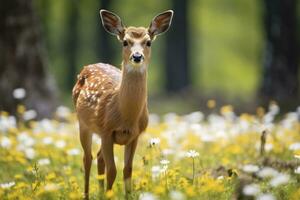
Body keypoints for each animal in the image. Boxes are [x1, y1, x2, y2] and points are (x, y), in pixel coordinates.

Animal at [72, 9, 173, 198]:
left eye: (148, 42)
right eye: (125, 42)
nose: (137, 56)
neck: (125, 115)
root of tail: (87, 66)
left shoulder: (135, 135)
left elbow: (128, 170)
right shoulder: (105, 130)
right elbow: (112, 171)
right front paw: (109, 195)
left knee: (99, 157)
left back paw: (100, 193)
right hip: (83, 123)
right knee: (87, 158)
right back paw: (87, 195)